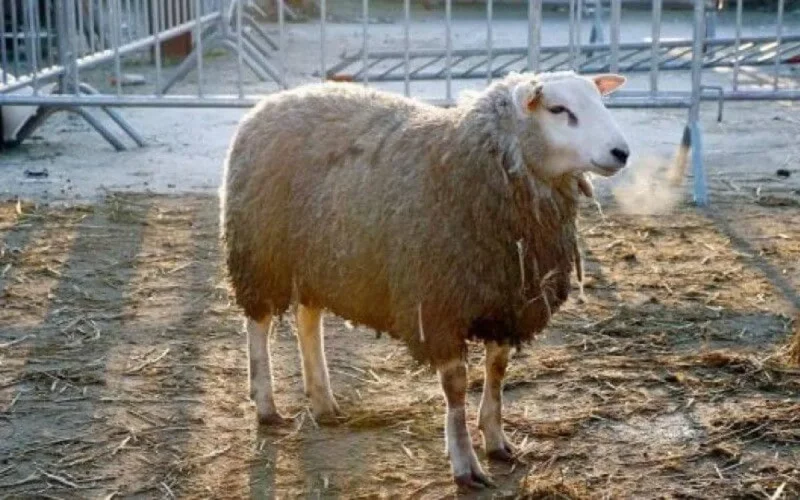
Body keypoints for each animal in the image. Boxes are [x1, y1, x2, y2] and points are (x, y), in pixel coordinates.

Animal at [220, 70, 629, 489]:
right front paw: (464, 463)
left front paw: (496, 440)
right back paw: (266, 405)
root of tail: (273, 100)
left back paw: (323, 401)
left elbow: (497, 373)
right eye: (558, 109)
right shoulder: (437, 306)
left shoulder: (506, 300)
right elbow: (457, 386)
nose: (621, 153)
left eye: (600, 100)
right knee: (259, 324)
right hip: (259, 253)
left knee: (307, 320)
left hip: (318, 257)